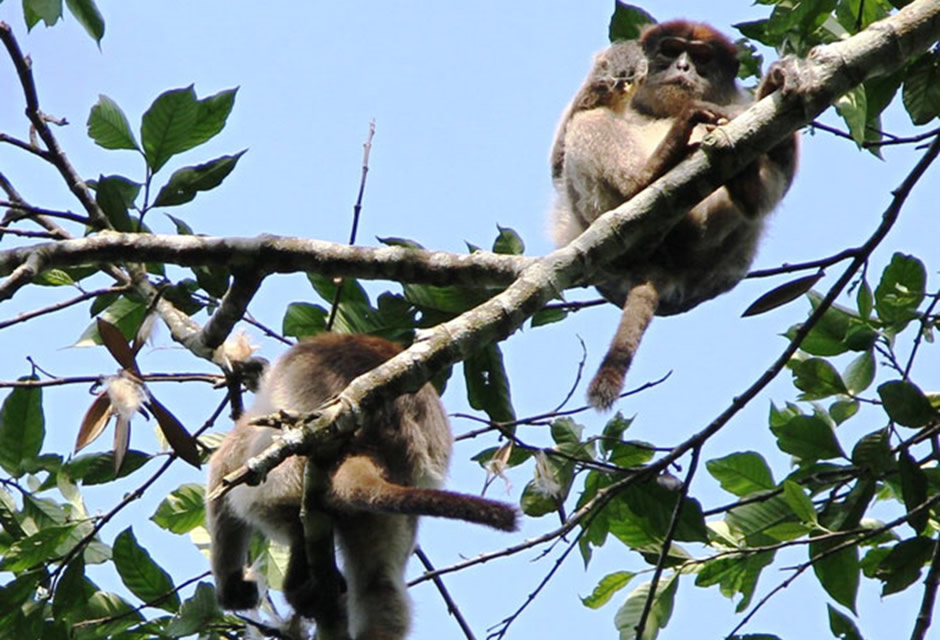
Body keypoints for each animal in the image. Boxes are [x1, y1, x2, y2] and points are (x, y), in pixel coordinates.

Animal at [206, 332, 516, 640]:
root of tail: (376, 443)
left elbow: (224, 468)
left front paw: (231, 587)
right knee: (379, 581)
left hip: (284, 479)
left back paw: (298, 584)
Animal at [552, 21, 800, 410]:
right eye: (670, 51)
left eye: (700, 58)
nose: (683, 67)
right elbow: (557, 159)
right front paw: (615, 64)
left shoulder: (738, 105)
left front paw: (775, 83)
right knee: (589, 120)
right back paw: (648, 173)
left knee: (755, 203)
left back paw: (746, 186)